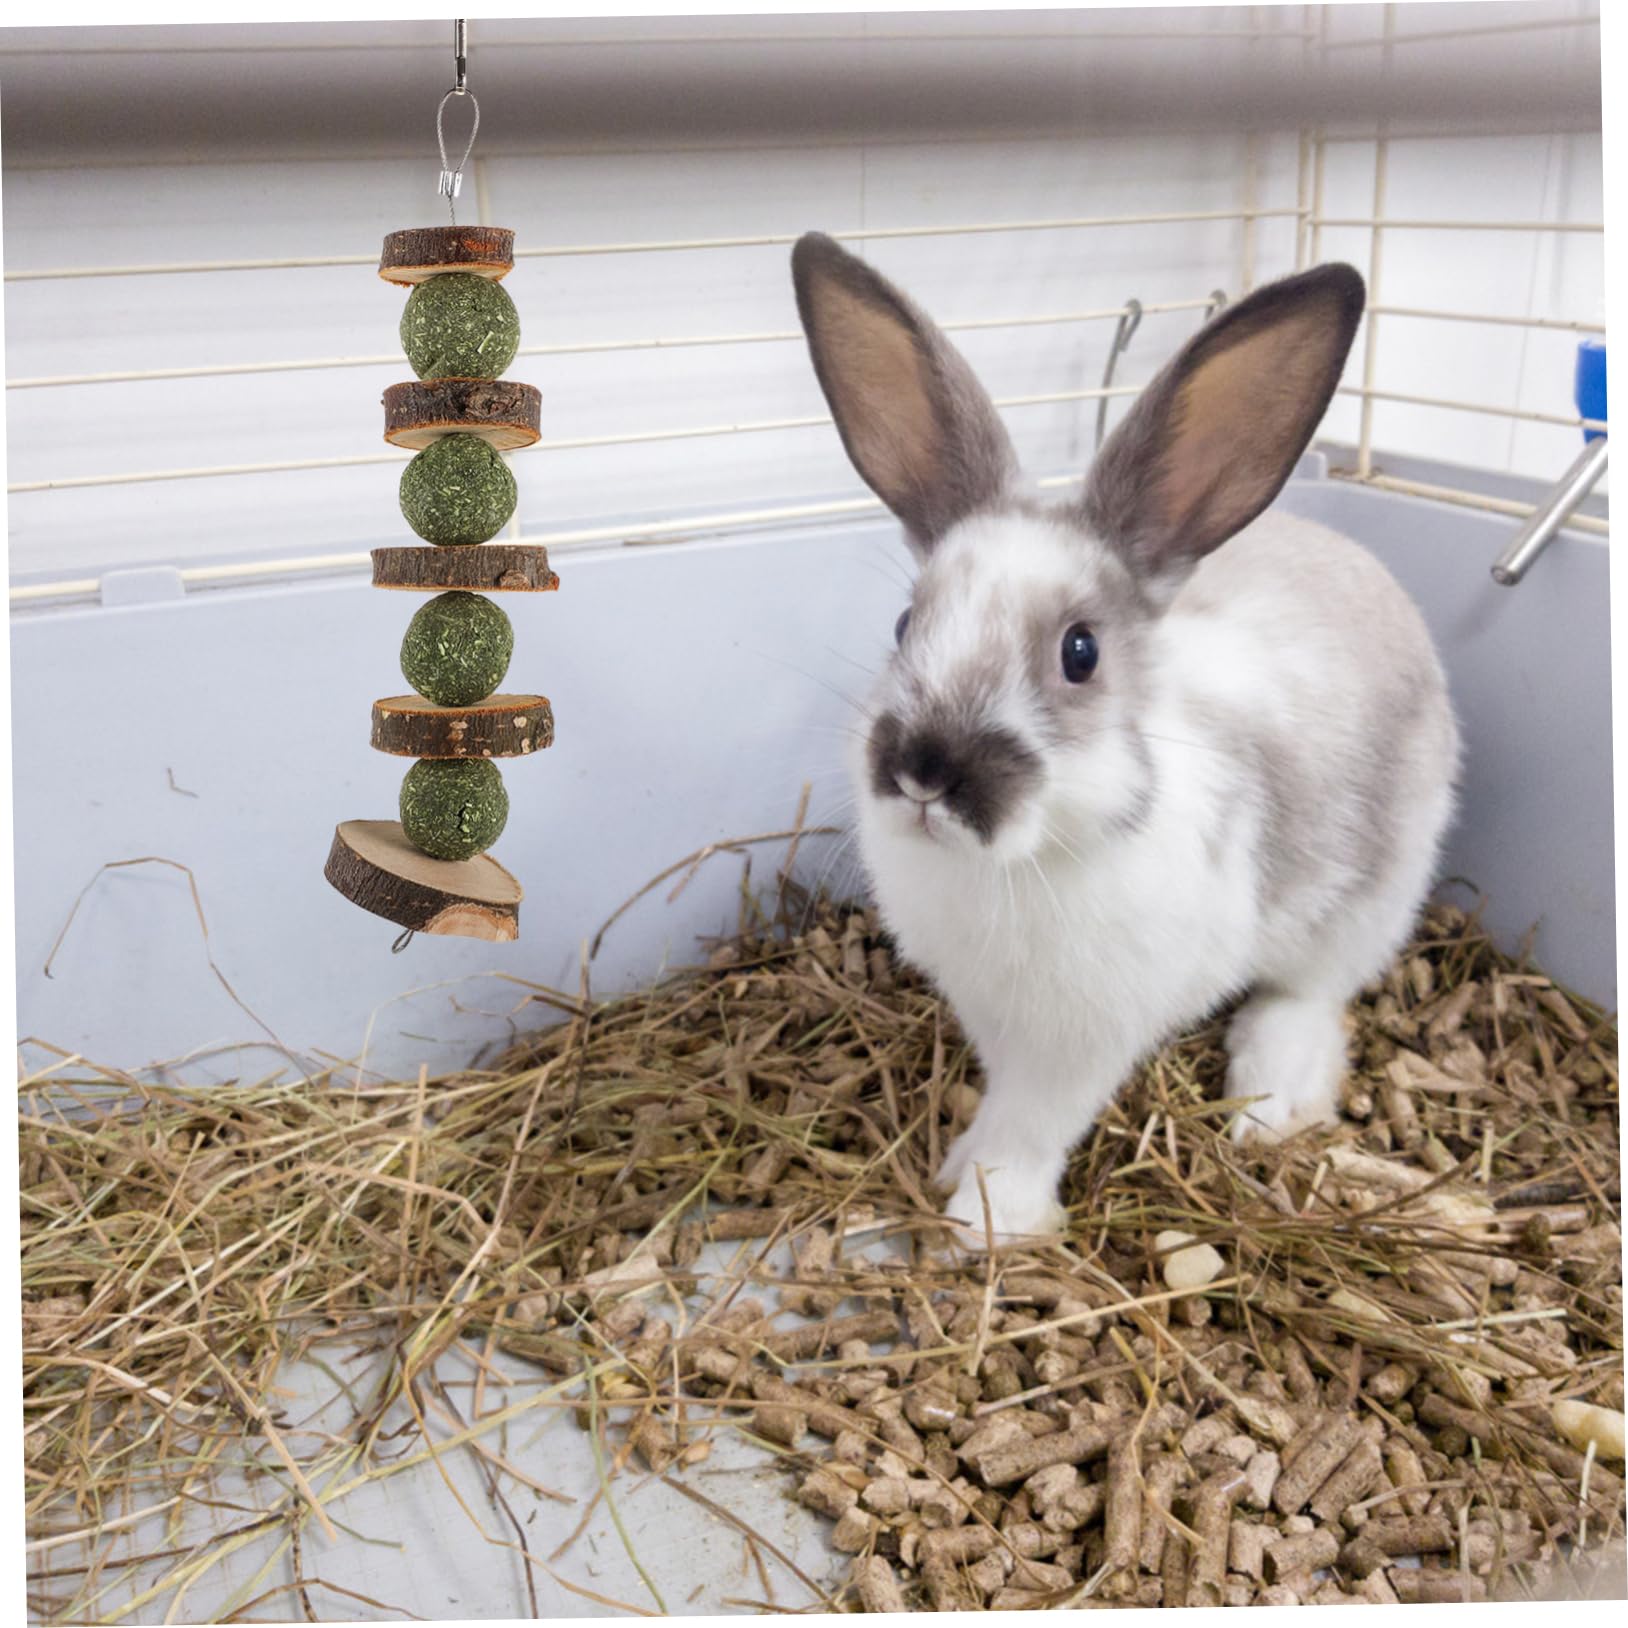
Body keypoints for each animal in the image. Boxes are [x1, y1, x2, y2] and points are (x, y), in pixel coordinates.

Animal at [789, 232, 1459, 1246]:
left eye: (1081, 653)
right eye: (905, 624)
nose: (925, 772)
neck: (1023, 861)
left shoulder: (1081, 1044)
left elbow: (1032, 1125)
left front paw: (985, 1217)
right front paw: (957, 1170)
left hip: (1373, 894)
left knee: (1313, 993)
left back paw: (1269, 1097)